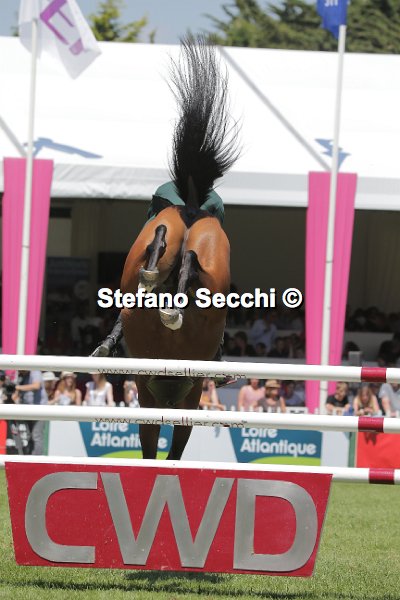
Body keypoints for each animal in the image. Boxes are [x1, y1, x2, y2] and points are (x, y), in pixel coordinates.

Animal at [94, 37, 239, 460]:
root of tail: (190, 208)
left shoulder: (163, 391)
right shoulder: (167, 392)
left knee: (168, 245)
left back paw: (157, 284)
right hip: (208, 251)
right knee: (186, 259)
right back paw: (165, 294)